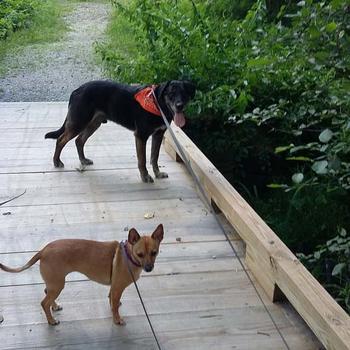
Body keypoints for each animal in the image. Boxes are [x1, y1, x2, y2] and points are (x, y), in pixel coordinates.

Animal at [0, 224, 164, 326]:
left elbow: (111, 300)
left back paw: (54, 307)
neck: (129, 256)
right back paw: (51, 321)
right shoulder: (118, 288)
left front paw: (113, 306)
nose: (149, 268)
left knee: (47, 293)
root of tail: (43, 250)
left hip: (54, 284)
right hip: (58, 285)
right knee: (44, 302)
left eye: (154, 253)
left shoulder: (114, 287)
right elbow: (115, 305)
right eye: (140, 254)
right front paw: (117, 319)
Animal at [45, 80, 196, 182]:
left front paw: (158, 174)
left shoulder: (158, 135)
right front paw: (145, 176)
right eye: (171, 94)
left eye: (184, 94)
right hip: (79, 122)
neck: (156, 103)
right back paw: (57, 161)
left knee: (79, 140)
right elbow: (142, 160)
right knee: (61, 140)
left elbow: (154, 157)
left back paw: (83, 160)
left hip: (94, 123)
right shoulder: (141, 135)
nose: (180, 106)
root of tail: (77, 90)